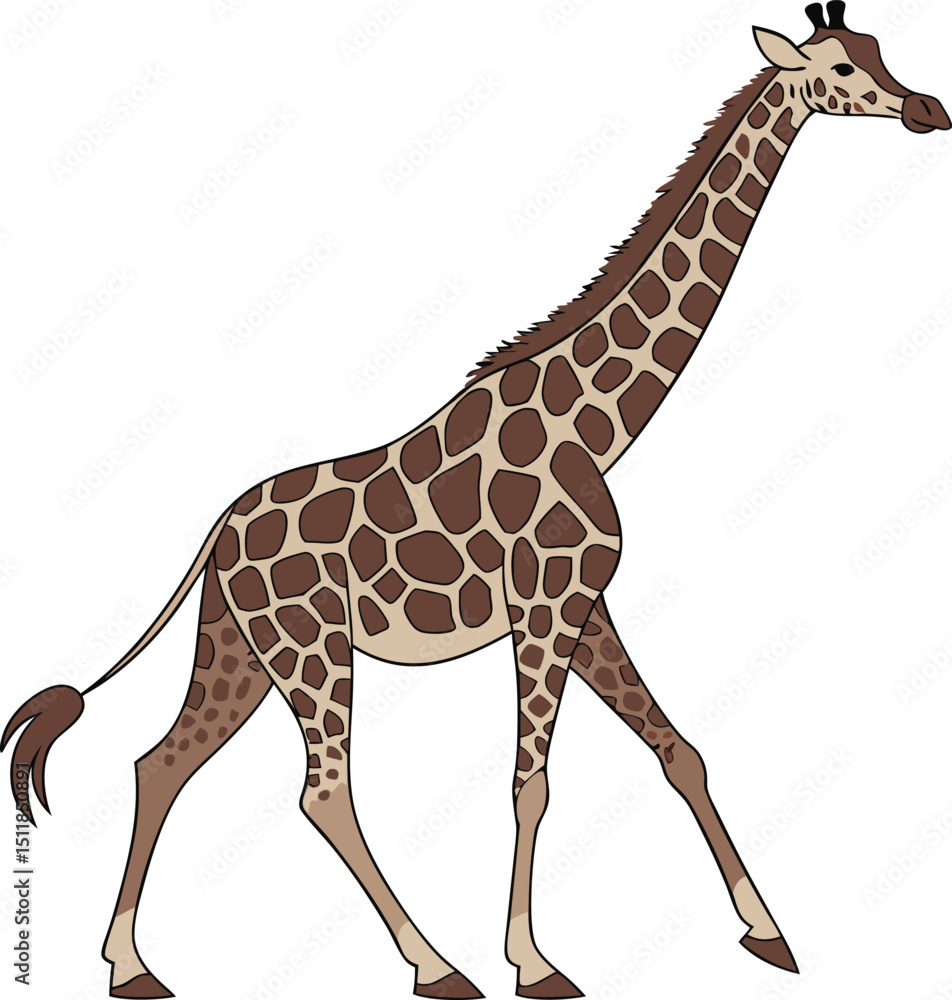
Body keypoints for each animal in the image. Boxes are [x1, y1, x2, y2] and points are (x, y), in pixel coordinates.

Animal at [4, 4, 949, 998]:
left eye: (882, 50)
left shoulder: (585, 604)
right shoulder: (542, 604)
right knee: (321, 790)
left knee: (161, 763)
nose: (927, 109)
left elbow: (679, 750)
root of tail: (218, 530)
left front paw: (768, 932)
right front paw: (533, 961)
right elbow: (531, 782)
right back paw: (436, 965)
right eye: (840, 68)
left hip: (240, 647)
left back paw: (130, 966)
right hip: (310, 647)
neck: (597, 425)